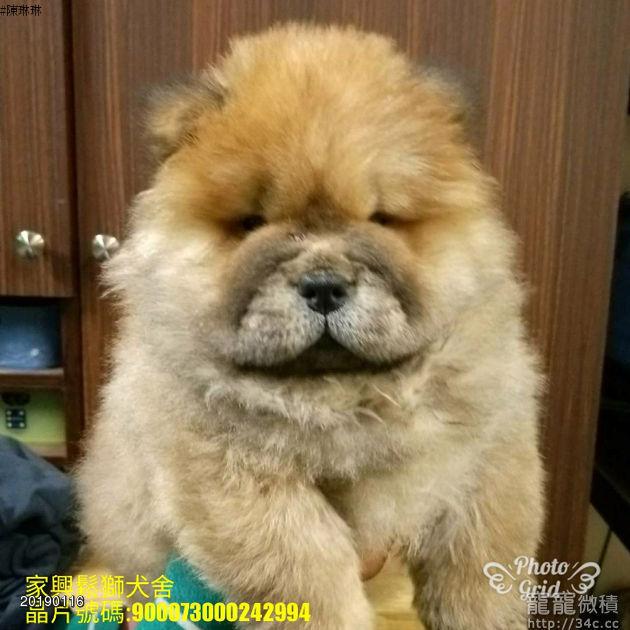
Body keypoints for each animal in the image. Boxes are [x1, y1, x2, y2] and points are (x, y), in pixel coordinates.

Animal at [76, 23, 544, 630]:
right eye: (251, 224)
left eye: (381, 220)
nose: (323, 286)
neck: (344, 398)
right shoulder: (225, 466)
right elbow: (301, 559)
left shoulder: (493, 428)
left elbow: (486, 542)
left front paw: (481, 612)